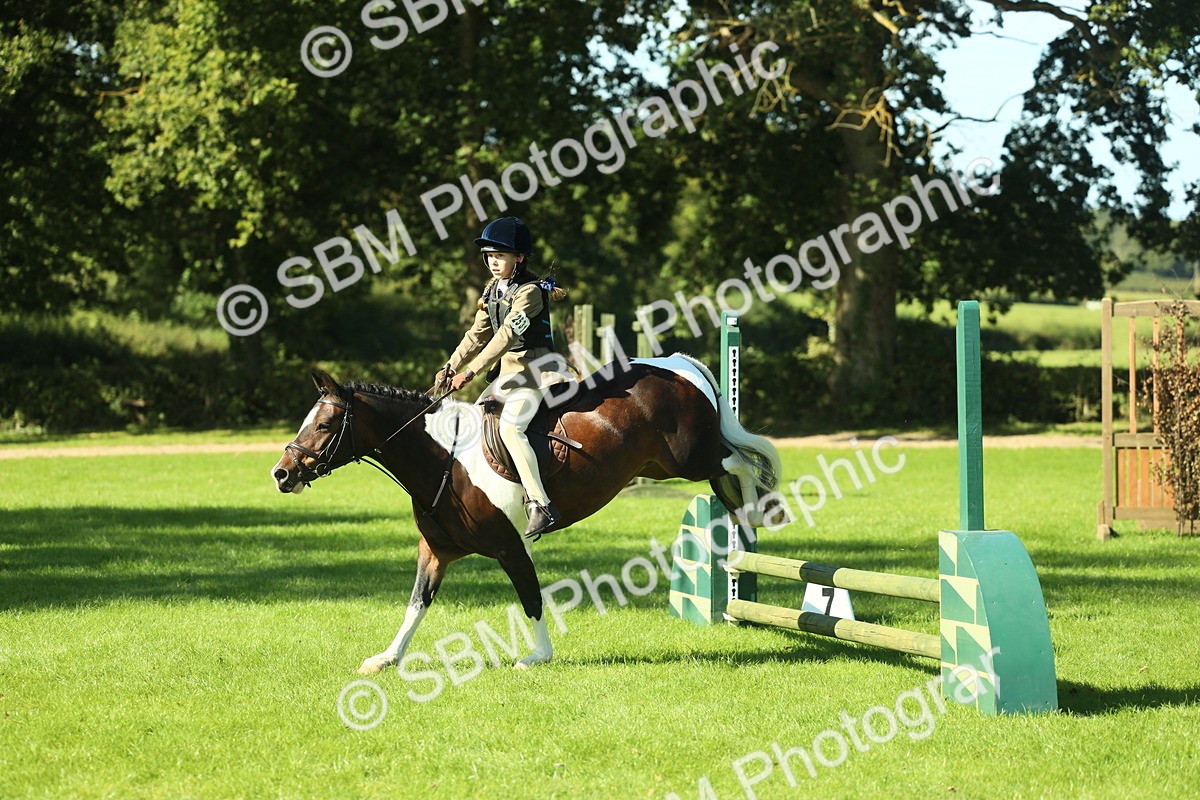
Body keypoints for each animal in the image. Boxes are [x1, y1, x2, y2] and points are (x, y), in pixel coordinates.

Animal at [270, 354, 780, 674]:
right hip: (664, 466)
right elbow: (417, 602)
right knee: (728, 472)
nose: (281, 474)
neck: (444, 459)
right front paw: (386, 659)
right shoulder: (436, 550)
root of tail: (678, 364)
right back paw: (742, 520)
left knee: (739, 461)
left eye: (324, 425)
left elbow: (531, 597)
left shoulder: (509, 547)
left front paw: (538, 657)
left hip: (688, 457)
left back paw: (754, 515)